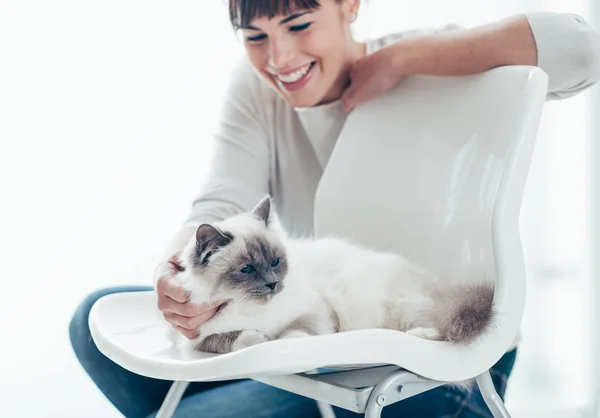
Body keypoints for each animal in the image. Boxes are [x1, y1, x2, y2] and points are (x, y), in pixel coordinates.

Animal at [171, 196, 494, 352]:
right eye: (246, 270)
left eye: (275, 262)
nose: (273, 284)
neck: (256, 310)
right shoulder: (198, 337)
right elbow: (232, 338)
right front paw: (260, 339)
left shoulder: (316, 312)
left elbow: (294, 332)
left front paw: (278, 341)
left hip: (400, 309)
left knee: (441, 326)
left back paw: (420, 334)